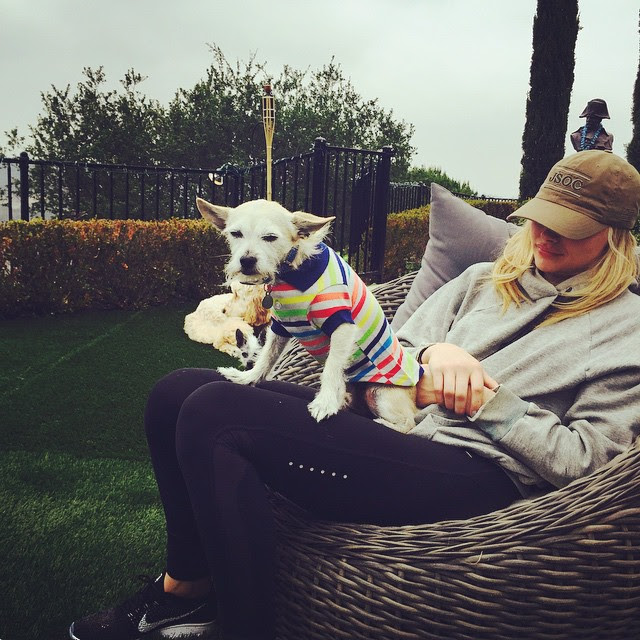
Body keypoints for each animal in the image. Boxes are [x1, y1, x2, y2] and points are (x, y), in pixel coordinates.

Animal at [198, 198, 422, 432]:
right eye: (236, 234)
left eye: (270, 237)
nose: (246, 260)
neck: (292, 269)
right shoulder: (280, 328)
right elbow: (267, 357)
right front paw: (247, 377)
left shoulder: (342, 325)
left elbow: (332, 365)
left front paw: (325, 402)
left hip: (381, 394)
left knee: (409, 423)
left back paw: (378, 421)